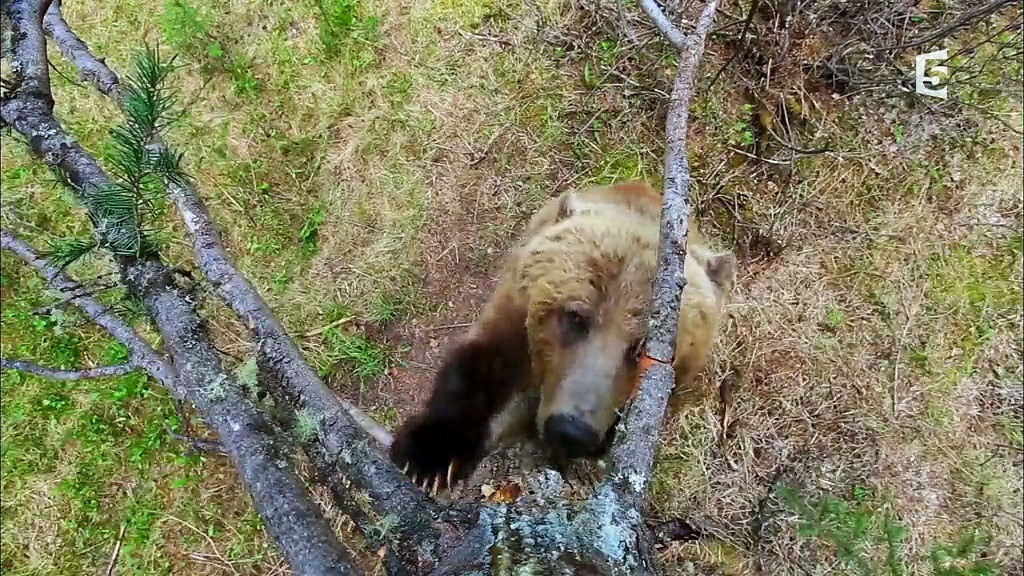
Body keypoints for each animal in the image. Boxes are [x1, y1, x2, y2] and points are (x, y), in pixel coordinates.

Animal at [389, 179, 737, 487]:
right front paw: (430, 456)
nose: (571, 431)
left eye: (642, 348)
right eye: (575, 316)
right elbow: (481, 364)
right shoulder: (515, 309)